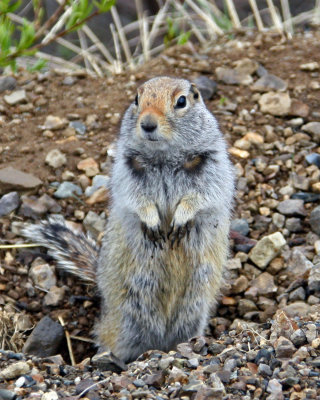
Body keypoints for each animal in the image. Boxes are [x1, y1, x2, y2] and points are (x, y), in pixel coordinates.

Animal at [23, 76, 234, 364]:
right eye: (136, 98)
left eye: (181, 101)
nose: (147, 124)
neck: (164, 157)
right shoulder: (127, 172)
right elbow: (137, 200)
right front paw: (153, 223)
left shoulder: (212, 166)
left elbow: (201, 196)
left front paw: (180, 219)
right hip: (125, 320)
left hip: (194, 311)